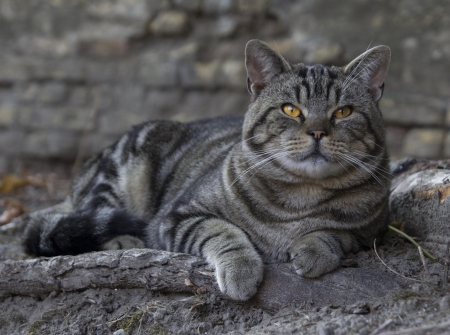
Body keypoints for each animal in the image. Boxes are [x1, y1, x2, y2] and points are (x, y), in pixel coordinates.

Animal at [22, 39, 392, 302]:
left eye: (343, 112)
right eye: (290, 110)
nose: (317, 132)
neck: (300, 195)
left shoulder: (370, 231)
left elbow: (336, 233)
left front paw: (314, 249)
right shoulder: (178, 216)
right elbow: (222, 231)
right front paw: (241, 270)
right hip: (116, 174)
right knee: (91, 214)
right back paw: (122, 239)